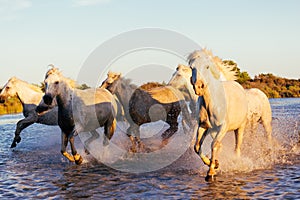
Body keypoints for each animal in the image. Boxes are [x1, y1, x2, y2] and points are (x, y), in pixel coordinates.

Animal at [190, 49, 248, 180]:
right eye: (192, 67)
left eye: (207, 67)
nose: (199, 87)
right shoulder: (203, 126)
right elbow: (197, 146)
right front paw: (213, 164)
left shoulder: (223, 127)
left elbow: (214, 145)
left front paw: (211, 171)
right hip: (212, 131)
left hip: (240, 127)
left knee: (237, 147)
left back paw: (236, 162)